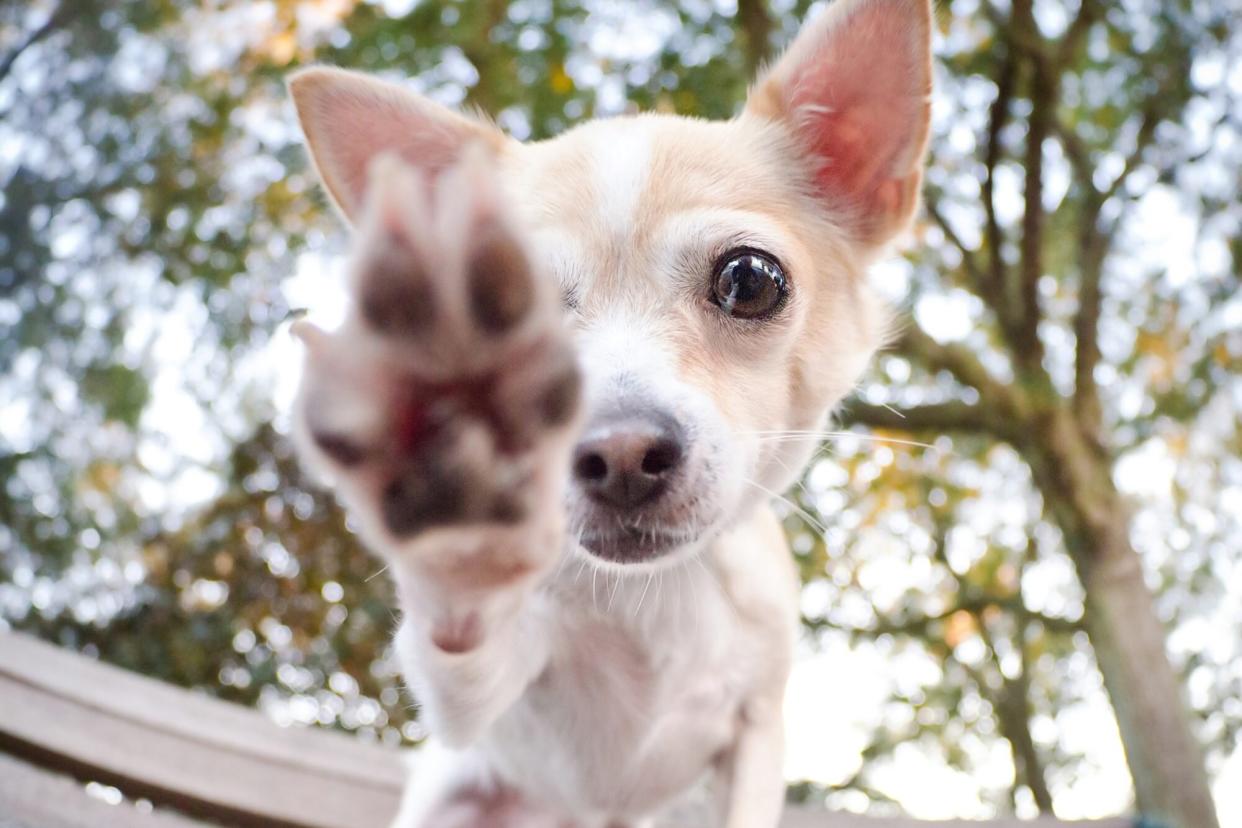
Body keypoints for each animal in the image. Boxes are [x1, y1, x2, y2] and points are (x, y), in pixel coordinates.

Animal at [290, 0, 933, 824]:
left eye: (751, 280)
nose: (619, 451)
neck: (657, 595)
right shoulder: (487, 701)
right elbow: (462, 658)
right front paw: (462, 529)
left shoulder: (757, 733)